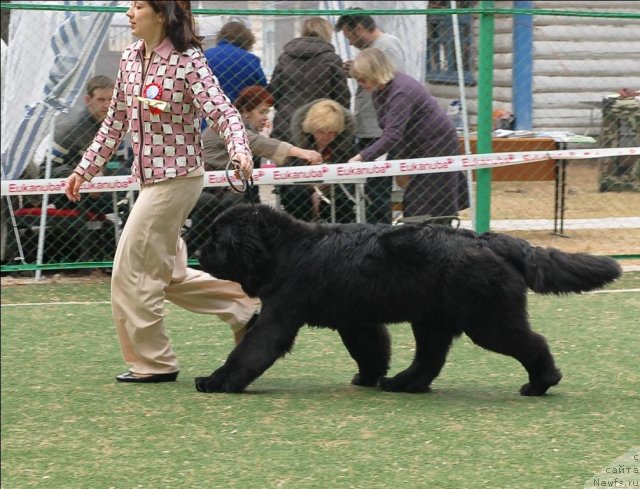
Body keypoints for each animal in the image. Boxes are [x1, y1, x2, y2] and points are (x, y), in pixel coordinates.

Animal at [194, 204, 620, 394]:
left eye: (217, 238)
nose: (197, 248)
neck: (284, 249)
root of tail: (489, 240)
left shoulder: (279, 315)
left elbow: (250, 351)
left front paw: (216, 380)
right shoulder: (356, 320)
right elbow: (370, 350)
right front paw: (368, 378)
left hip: (488, 320)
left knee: (533, 343)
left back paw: (540, 383)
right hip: (433, 320)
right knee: (429, 360)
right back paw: (403, 383)